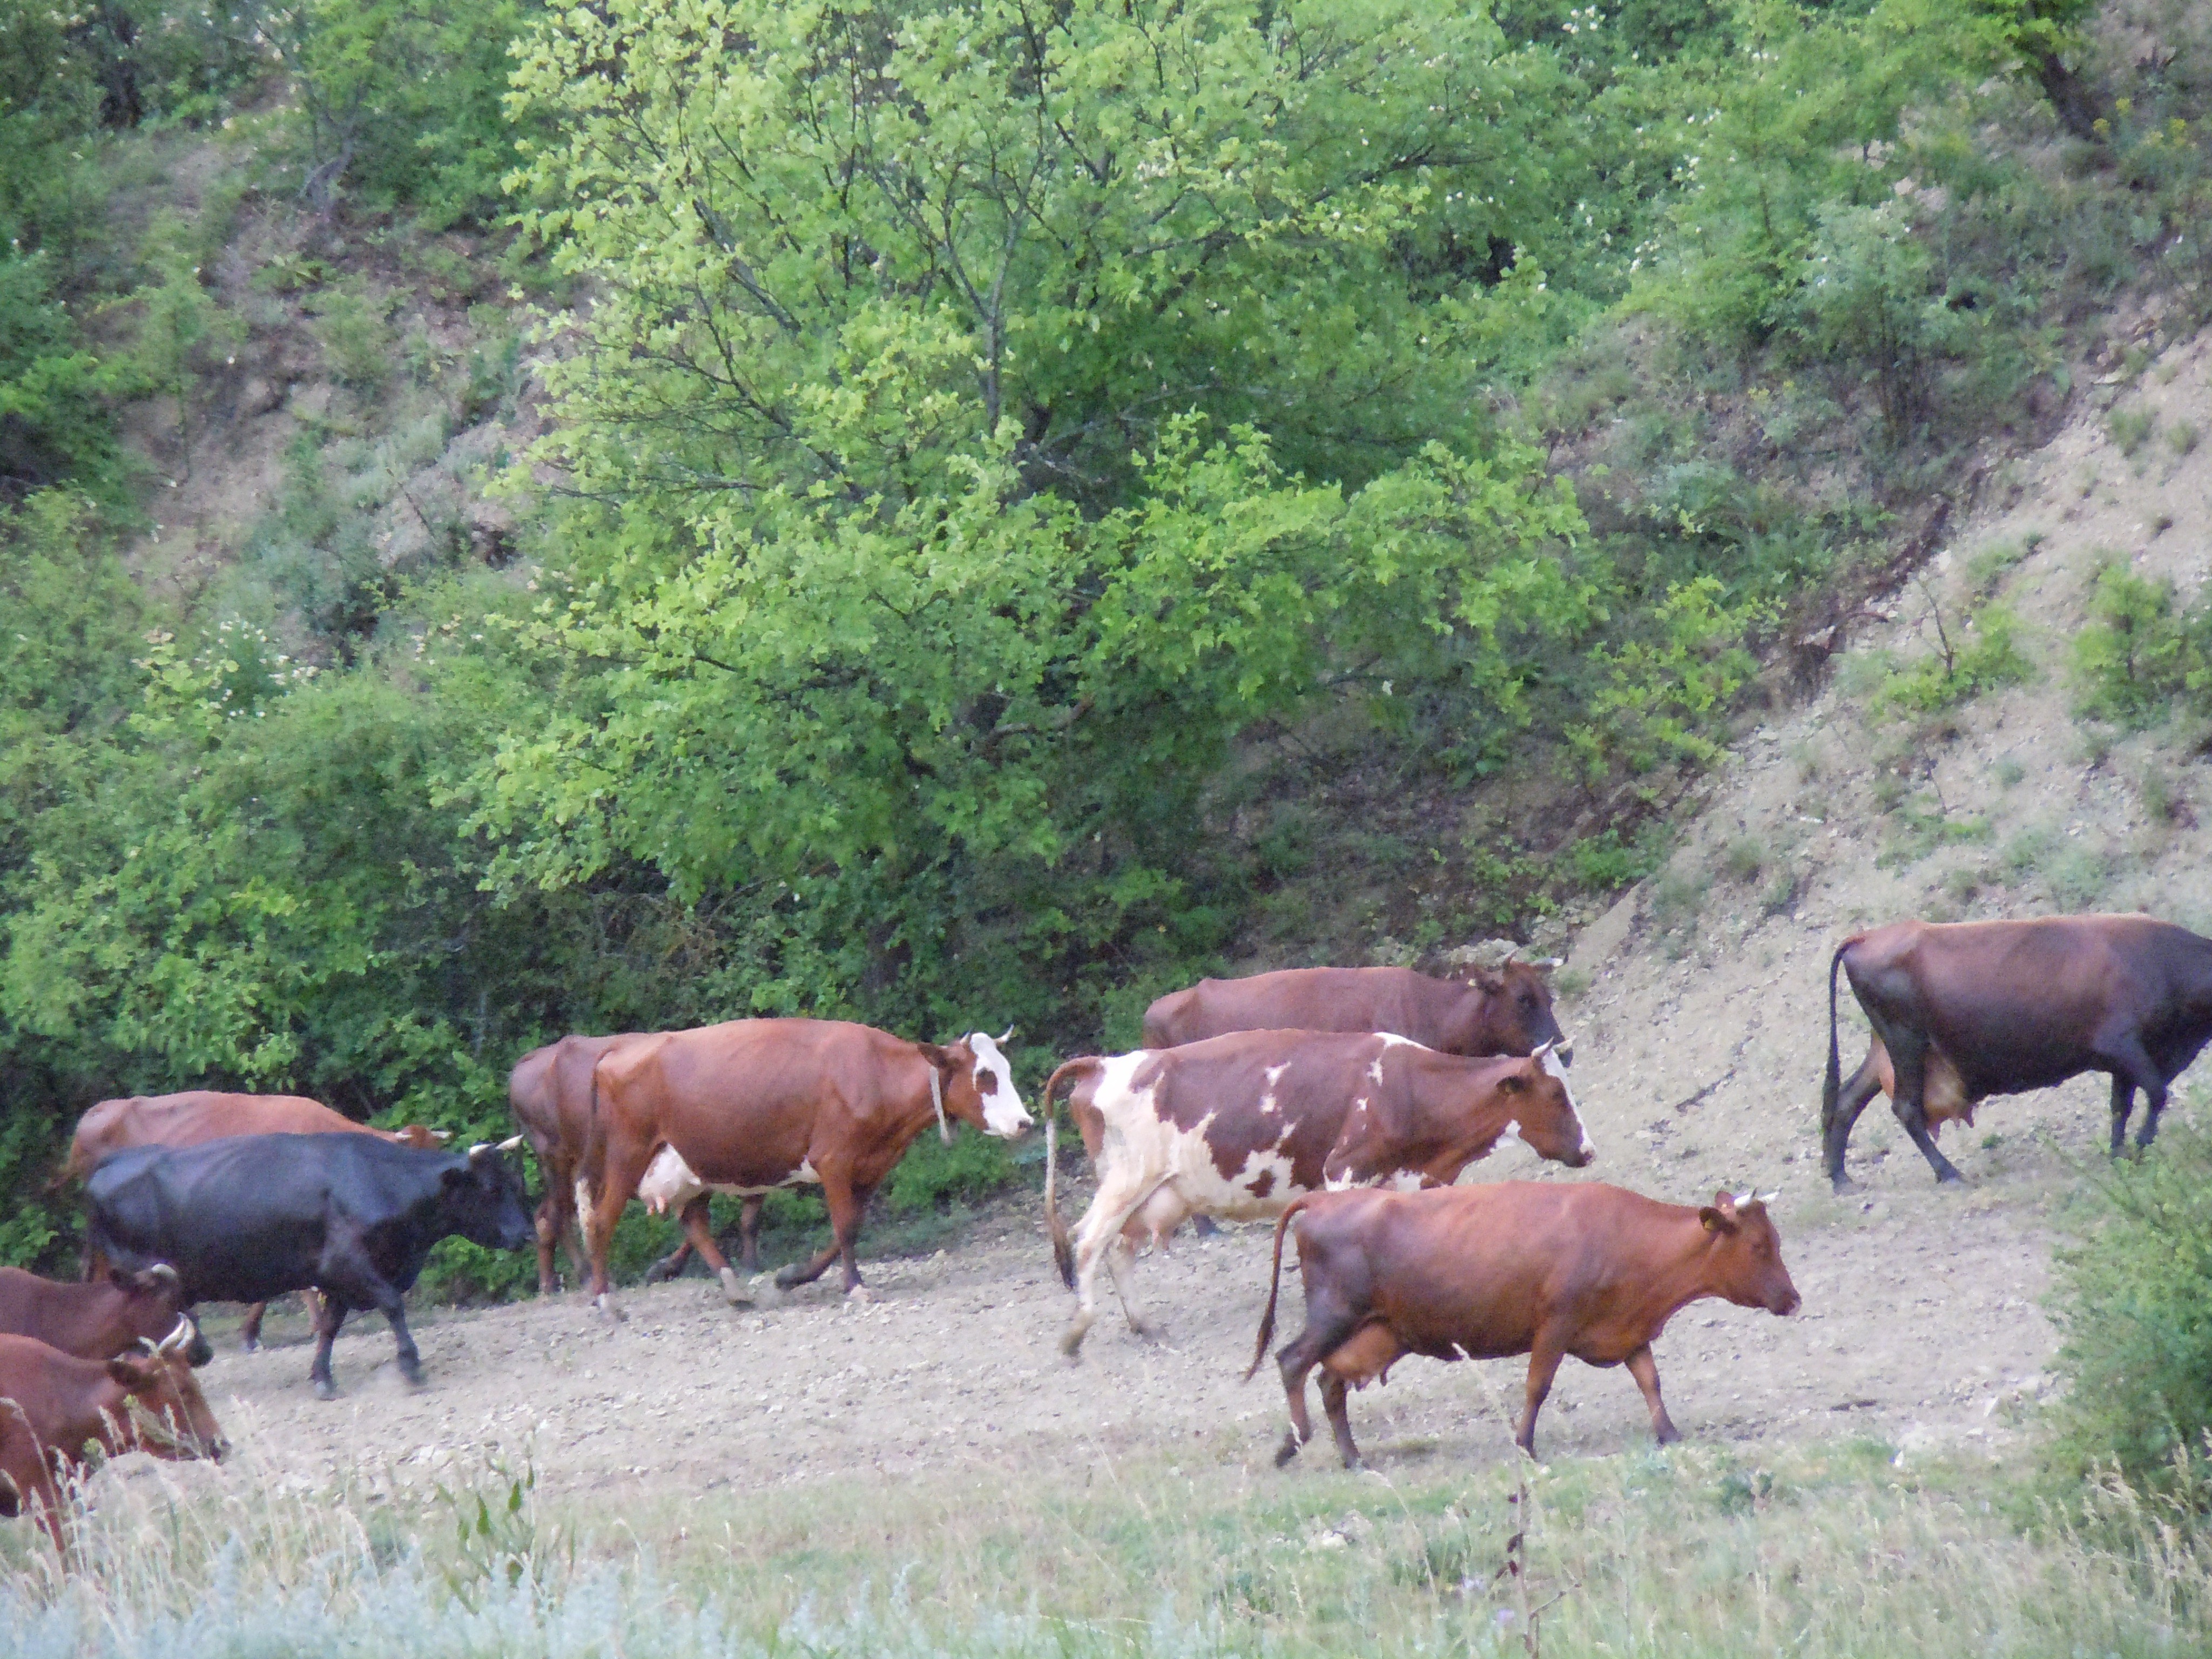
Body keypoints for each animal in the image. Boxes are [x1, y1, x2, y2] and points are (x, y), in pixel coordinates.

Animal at [85, 1133, 533, 1399]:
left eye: (518, 1184)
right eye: (492, 1189)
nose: (528, 1234)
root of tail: (111, 1162)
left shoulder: (336, 1279)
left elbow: (332, 1326)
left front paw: (323, 1377)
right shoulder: (349, 1263)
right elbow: (392, 1304)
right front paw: (410, 1366)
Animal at [581, 1019, 1030, 1318]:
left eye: (1007, 1070)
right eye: (984, 1075)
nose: (1025, 1122)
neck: (874, 1075)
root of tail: (616, 1052)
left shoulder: (871, 1167)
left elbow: (848, 1226)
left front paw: (793, 1277)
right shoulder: (834, 1160)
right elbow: (845, 1227)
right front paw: (856, 1286)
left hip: (693, 1162)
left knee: (693, 1222)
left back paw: (734, 1289)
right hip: (626, 1155)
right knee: (601, 1222)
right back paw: (607, 1301)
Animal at [1041, 1031, 1592, 1357]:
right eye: (1556, 1094)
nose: (1588, 1149)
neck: (1405, 1088)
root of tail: (1104, 1064)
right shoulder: (1345, 1171)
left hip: (1152, 1196)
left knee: (1118, 1250)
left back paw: (1142, 1324)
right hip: (1127, 1180)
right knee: (1088, 1241)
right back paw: (1076, 1331)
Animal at [1249, 1183, 1800, 1467]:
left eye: (1775, 1240)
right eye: (1759, 1246)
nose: (1793, 1300)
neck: (1627, 1238)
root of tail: (1325, 1199)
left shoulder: (1628, 1330)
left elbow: (1650, 1380)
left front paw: (1669, 1433)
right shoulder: (1555, 1324)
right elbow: (1538, 1386)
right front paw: (1525, 1445)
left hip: (1373, 1331)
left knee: (1329, 1381)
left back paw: (1352, 1456)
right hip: (1334, 1315)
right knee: (1292, 1361)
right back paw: (1294, 1441)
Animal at [1822, 915, 2212, 1191]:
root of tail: (1868, 936)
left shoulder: (2127, 1061)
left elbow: (2121, 1106)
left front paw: (2120, 1154)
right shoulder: (2123, 1046)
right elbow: (2157, 1094)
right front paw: (2141, 1147)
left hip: (1887, 1051)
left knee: (1846, 1101)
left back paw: (1841, 1179)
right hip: (1906, 1043)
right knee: (1904, 1108)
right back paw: (1949, 1173)